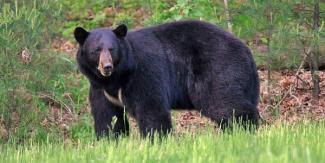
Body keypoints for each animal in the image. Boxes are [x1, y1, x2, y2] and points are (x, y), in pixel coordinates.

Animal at [73, 19, 258, 138]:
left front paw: (156, 140)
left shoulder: (142, 73)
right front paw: (109, 140)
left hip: (217, 67)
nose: (107, 67)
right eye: (96, 50)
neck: (117, 77)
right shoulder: (99, 88)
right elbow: (107, 116)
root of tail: (246, 51)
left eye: (112, 49)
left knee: (223, 102)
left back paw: (245, 130)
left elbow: (151, 109)